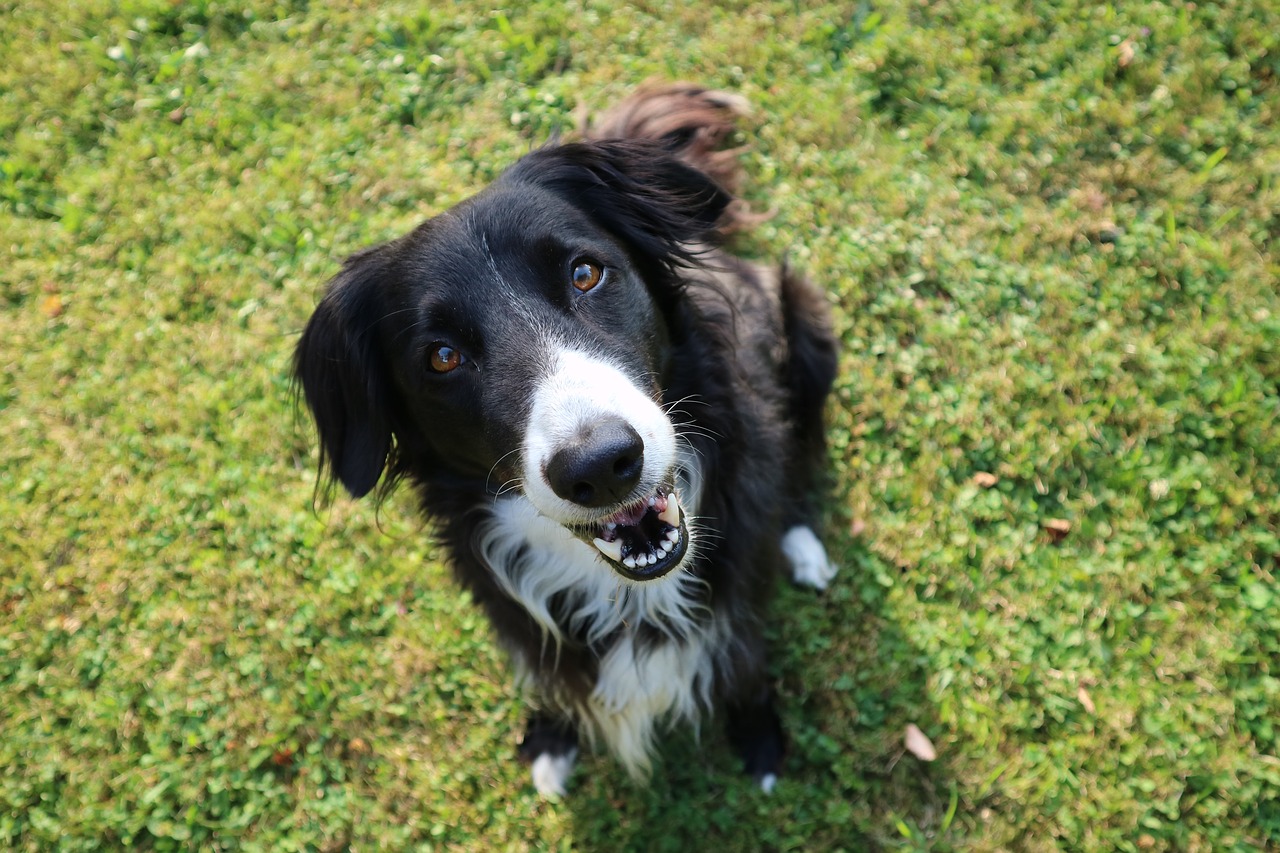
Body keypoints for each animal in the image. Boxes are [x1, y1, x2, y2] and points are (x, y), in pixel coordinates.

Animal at [293, 83, 839, 794]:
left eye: (585, 274)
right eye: (441, 357)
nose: (602, 465)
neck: (626, 590)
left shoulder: (738, 591)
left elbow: (743, 657)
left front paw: (759, 736)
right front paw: (552, 736)